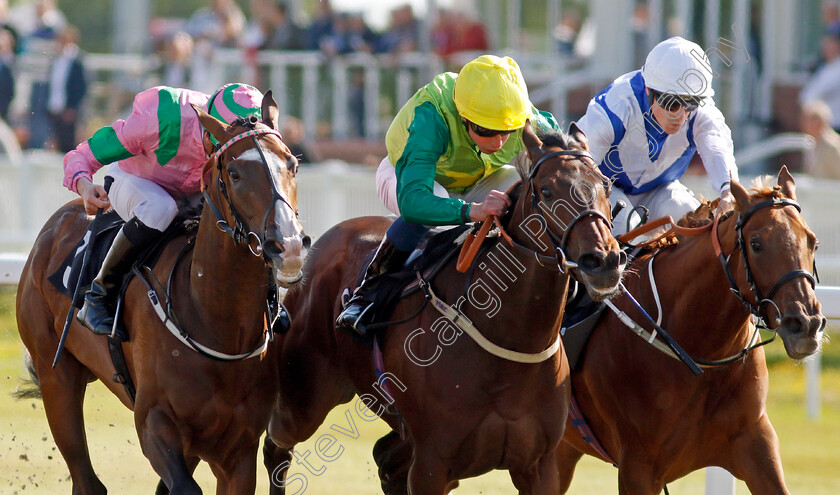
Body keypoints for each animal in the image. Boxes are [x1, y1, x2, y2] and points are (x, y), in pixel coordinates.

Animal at [14, 95, 310, 494]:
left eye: (292, 164)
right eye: (234, 173)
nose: (289, 246)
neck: (214, 321)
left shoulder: (237, 447)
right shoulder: (154, 423)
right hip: (56, 376)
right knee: (86, 478)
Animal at [266, 122, 628, 494]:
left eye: (606, 184)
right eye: (547, 190)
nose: (603, 261)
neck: (512, 339)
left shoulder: (540, 464)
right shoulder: (432, 463)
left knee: (384, 459)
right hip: (305, 396)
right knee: (277, 447)